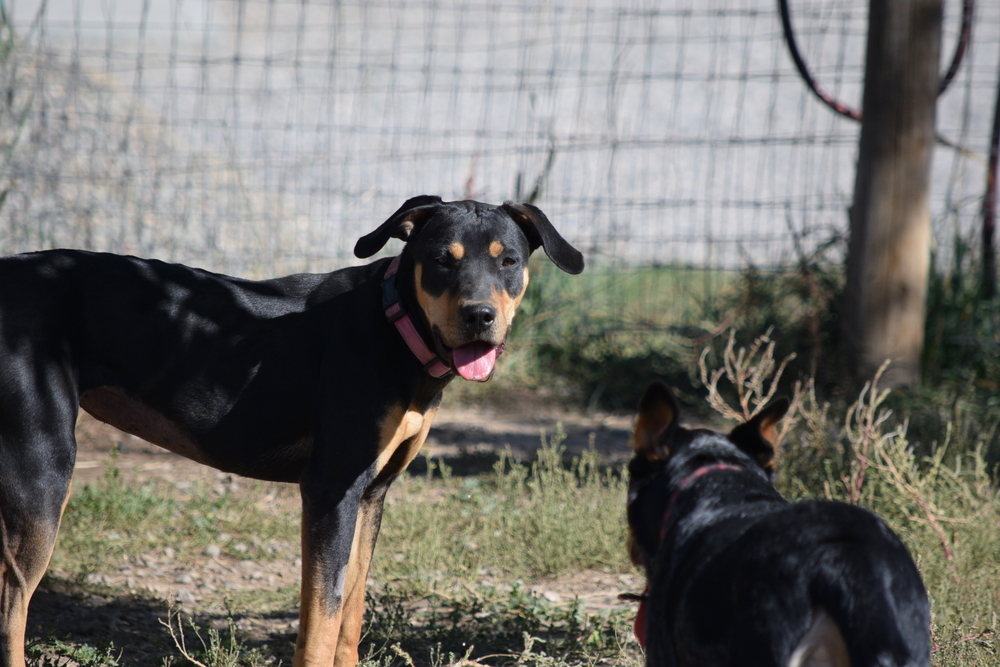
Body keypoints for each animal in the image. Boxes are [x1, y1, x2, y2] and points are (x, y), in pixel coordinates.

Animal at [0, 196, 584, 667]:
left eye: (508, 261)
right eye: (443, 259)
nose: (479, 316)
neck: (395, 325)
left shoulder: (371, 494)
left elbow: (350, 611)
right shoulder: (331, 489)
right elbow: (321, 620)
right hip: (43, 468)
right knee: (13, 605)